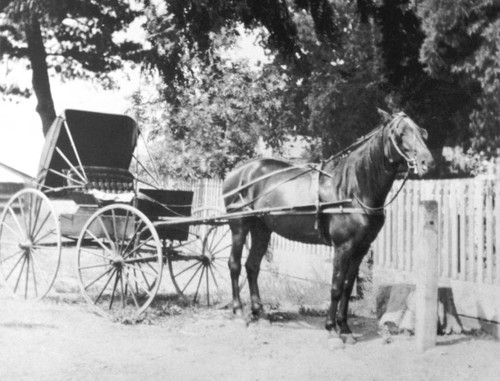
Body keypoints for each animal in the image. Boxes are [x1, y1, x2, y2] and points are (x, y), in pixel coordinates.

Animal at [223, 108, 434, 346]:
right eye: (399, 133)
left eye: (420, 131)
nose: (427, 162)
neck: (352, 189)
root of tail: (237, 172)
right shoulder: (342, 246)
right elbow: (336, 286)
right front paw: (332, 328)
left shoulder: (360, 248)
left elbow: (347, 287)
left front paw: (346, 328)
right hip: (239, 226)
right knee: (234, 264)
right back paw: (239, 312)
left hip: (261, 229)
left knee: (252, 266)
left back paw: (260, 313)